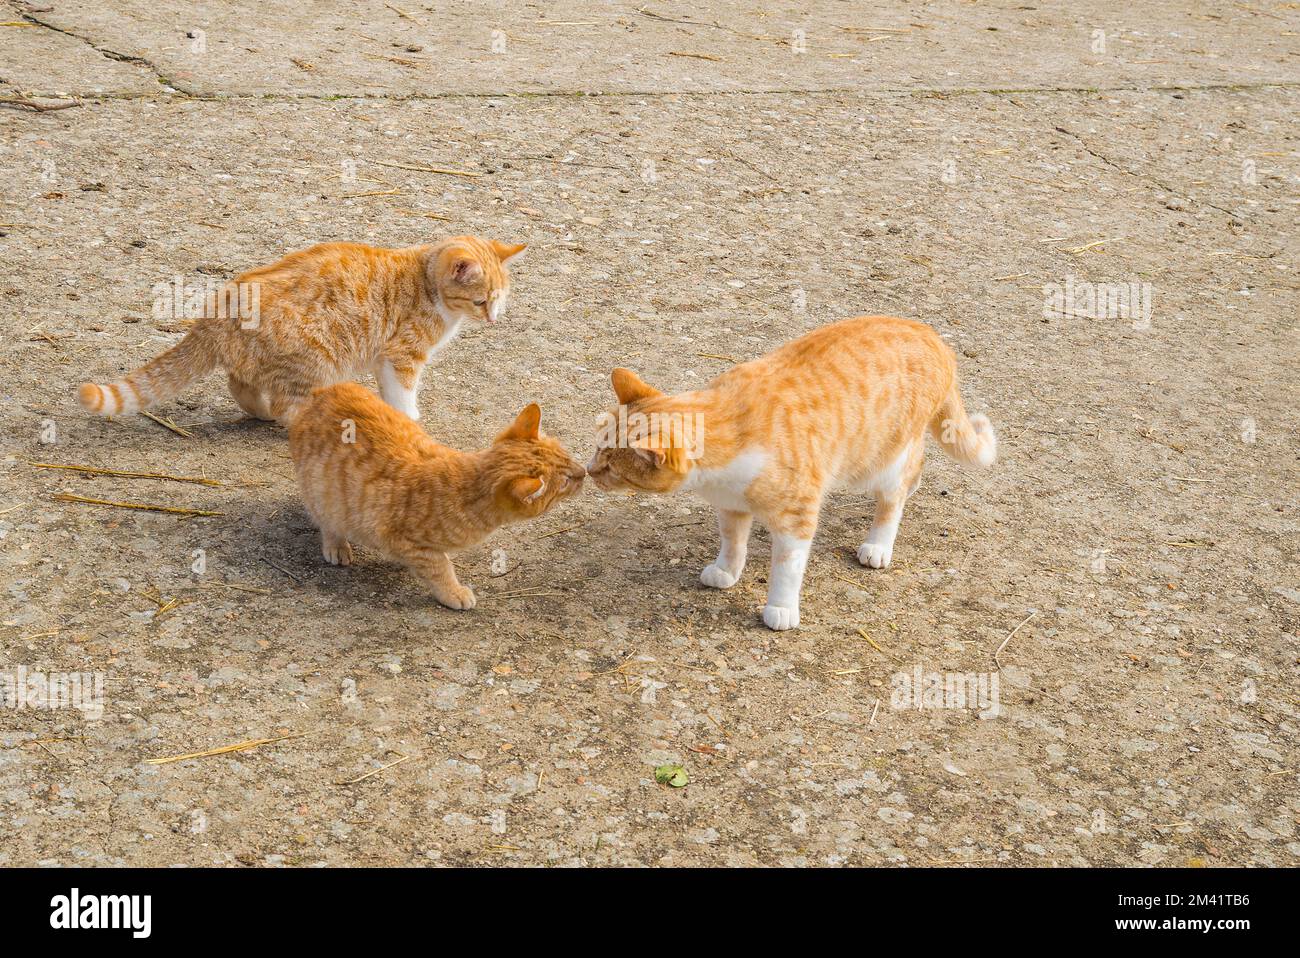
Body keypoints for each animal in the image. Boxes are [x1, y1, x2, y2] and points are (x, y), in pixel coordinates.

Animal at [76, 233, 520, 423]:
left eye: (499, 300)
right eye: (481, 301)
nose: (493, 320)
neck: (427, 282)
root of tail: (220, 305)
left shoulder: (384, 359)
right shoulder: (403, 357)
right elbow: (404, 395)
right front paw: (409, 419)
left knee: (241, 385)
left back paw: (259, 413)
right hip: (313, 360)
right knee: (286, 406)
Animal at [292, 379, 587, 605]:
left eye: (566, 454)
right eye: (565, 482)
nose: (583, 471)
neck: (466, 488)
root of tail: (321, 392)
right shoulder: (408, 542)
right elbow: (440, 568)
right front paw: (453, 592)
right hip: (323, 496)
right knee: (327, 523)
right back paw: (337, 545)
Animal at [585, 311, 998, 629]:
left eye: (611, 466)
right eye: (597, 448)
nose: (589, 470)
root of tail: (932, 336)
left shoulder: (796, 517)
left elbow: (786, 569)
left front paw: (780, 608)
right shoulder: (731, 505)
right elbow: (732, 543)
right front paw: (727, 570)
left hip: (878, 462)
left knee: (895, 494)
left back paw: (879, 544)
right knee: (917, 467)